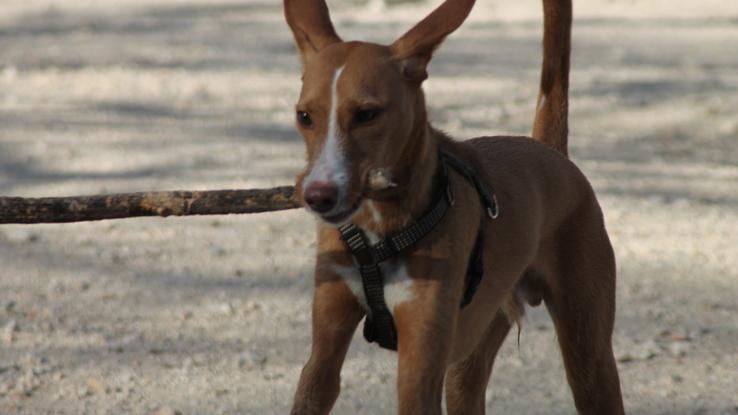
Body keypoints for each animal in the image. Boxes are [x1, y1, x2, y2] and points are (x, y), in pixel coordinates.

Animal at [282, 0, 620, 412]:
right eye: (304, 116)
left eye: (367, 114)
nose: (318, 195)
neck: (380, 233)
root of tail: (550, 151)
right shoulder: (322, 358)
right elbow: (317, 381)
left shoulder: (419, 361)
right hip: (470, 352)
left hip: (587, 355)